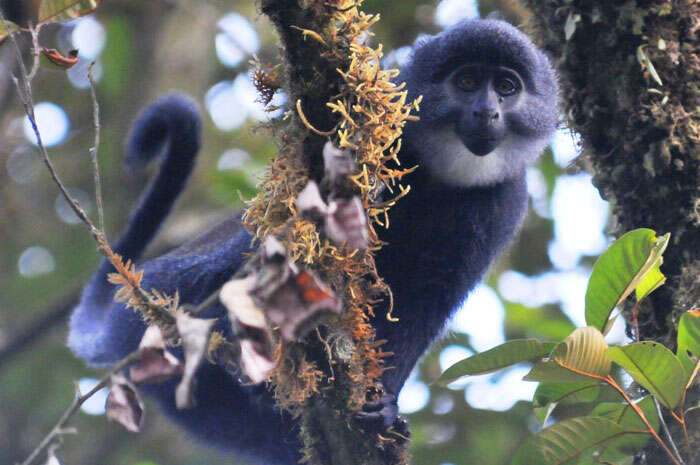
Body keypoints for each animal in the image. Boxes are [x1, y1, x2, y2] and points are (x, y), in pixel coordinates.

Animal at [65, 19, 556, 464]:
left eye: (506, 87)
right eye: (468, 81)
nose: (487, 111)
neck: (442, 177)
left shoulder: (500, 206)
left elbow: (424, 306)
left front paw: (386, 407)